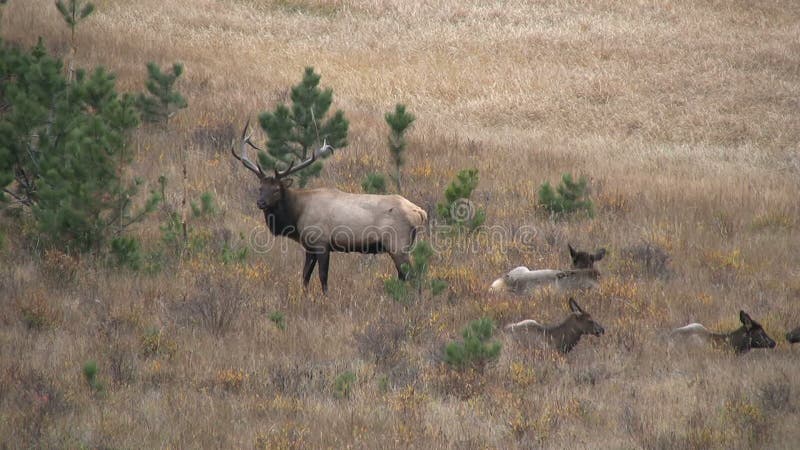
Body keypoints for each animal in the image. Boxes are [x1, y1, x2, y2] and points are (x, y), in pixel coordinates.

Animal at [231, 121, 428, 294]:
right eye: (260, 188)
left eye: (276, 189)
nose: (260, 203)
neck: (297, 215)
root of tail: (420, 212)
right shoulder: (309, 246)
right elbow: (305, 276)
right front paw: (304, 296)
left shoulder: (321, 242)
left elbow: (322, 276)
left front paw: (325, 298)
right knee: (404, 276)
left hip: (397, 244)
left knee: (412, 276)